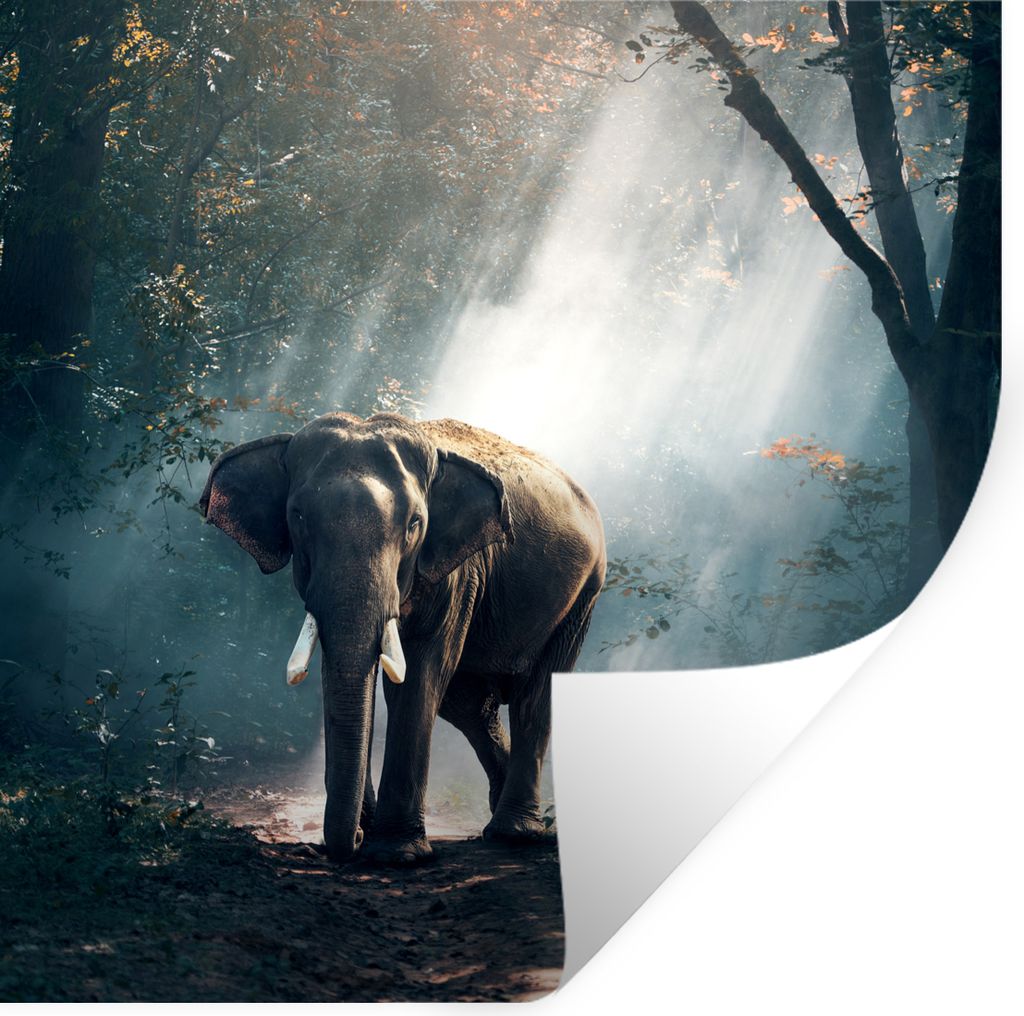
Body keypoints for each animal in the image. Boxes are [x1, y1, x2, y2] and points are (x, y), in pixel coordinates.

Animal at [199, 412, 605, 863]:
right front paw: (371, 833)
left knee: (534, 694)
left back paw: (514, 833)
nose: (354, 839)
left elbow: (419, 675)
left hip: (582, 596)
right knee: (469, 705)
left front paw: (397, 854)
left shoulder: (458, 572)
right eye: (298, 517)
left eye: (414, 524)